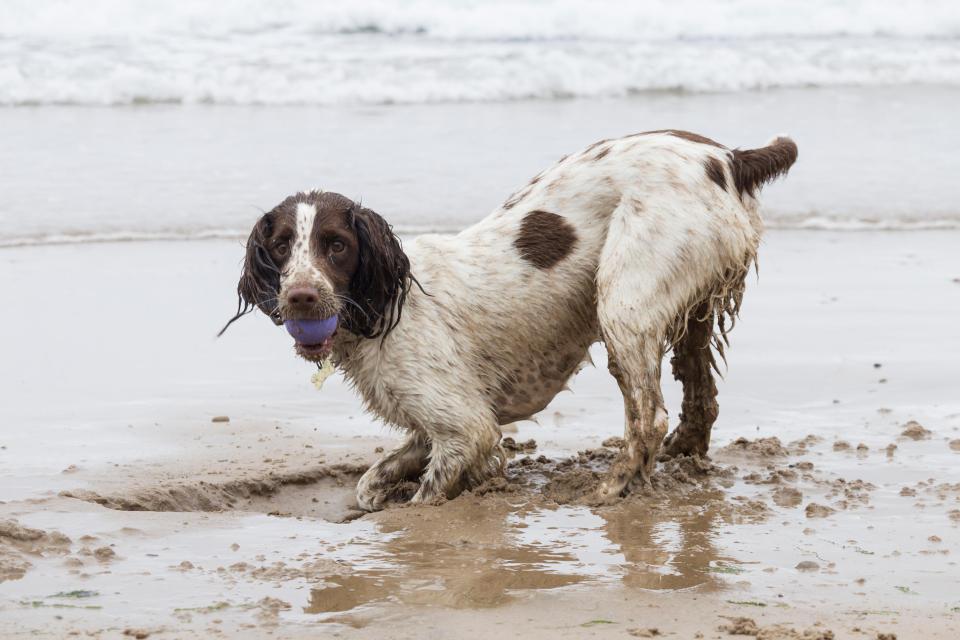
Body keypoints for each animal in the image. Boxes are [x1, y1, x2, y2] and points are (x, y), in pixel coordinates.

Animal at [223, 129, 796, 510]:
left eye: (336, 245)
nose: (300, 297)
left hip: (625, 303)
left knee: (648, 415)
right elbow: (371, 481)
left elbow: (428, 494)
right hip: (691, 303)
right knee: (701, 397)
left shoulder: (465, 426)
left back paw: (614, 485)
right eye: (281, 245)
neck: (382, 307)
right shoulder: (439, 425)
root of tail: (727, 157)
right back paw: (682, 454)